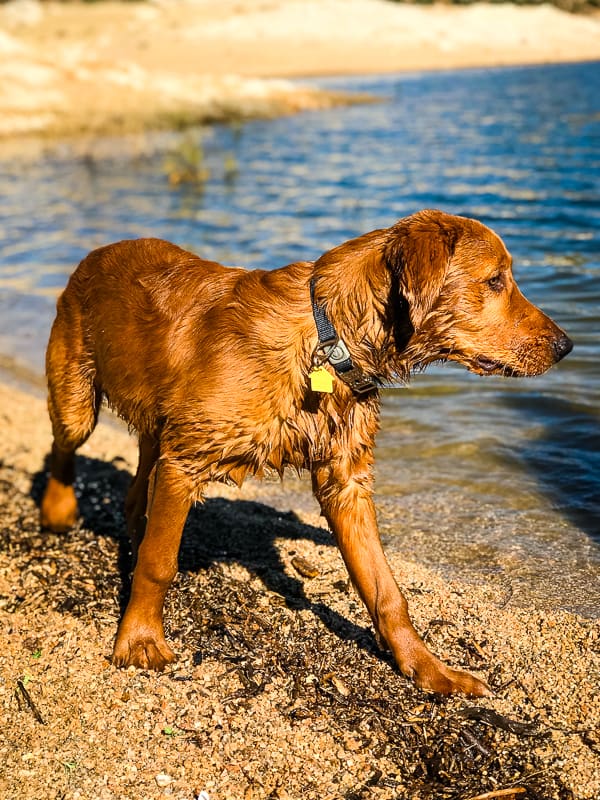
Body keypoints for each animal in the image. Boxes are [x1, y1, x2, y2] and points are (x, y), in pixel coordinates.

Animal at [41, 211, 572, 692]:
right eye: (495, 280)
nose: (566, 346)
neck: (329, 340)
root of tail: (96, 253)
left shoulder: (346, 481)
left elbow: (386, 592)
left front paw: (426, 667)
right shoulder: (187, 460)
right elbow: (159, 564)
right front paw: (140, 640)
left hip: (159, 420)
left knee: (139, 483)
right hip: (77, 401)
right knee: (61, 448)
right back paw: (59, 510)